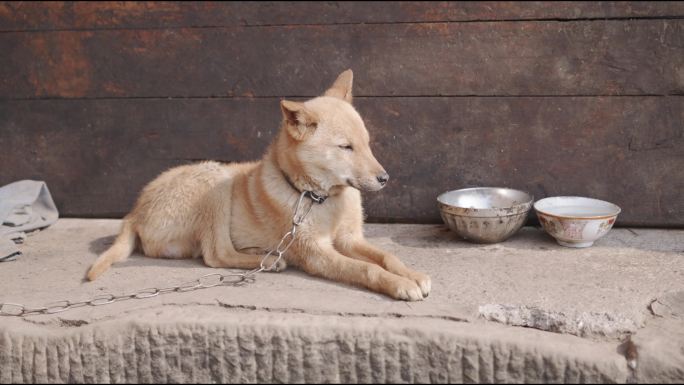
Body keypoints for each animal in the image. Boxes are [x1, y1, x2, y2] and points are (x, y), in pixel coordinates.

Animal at [84, 70, 428, 302]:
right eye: (346, 147)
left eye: (367, 144)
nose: (385, 178)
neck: (316, 197)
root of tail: (134, 212)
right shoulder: (317, 254)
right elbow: (366, 269)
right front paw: (400, 284)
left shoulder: (349, 239)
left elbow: (386, 257)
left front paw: (412, 274)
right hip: (216, 179)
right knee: (215, 254)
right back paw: (269, 260)